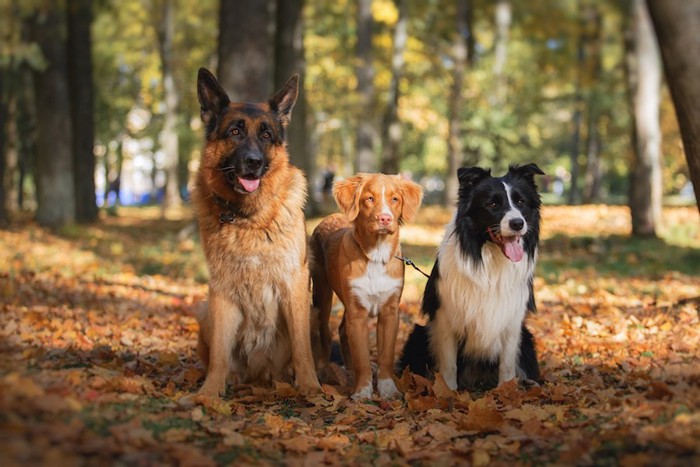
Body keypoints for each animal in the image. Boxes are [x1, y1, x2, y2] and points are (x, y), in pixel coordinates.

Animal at [193, 68, 322, 398]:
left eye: (266, 135)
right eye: (234, 132)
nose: (254, 162)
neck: (247, 218)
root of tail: (258, 375)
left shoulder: (294, 284)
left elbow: (303, 348)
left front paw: (311, 387)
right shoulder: (221, 291)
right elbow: (219, 354)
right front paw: (210, 392)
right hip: (205, 313)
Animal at [310, 174, 422, 400]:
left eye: (395, 199)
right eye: (369, 199)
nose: (385, 219)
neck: (376, 256)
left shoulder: (390, 312)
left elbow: (386, 355)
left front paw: (387, 389)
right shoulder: (357, 313)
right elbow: (361, 356)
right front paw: (362, 391)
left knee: (342, 330)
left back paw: (349, 371)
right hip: (322, 292)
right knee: (326, 332)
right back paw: (326, 372)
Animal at [400, 165, 540, 392]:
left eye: (521, 202)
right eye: (493, 204)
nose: (518, 223)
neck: (490, 259)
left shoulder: (512, 319)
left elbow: (507, 364)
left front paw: (507, 392)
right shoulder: (445, 317)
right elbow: (449, 365)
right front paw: (448, 392)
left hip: (526, 337)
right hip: (418, 334)